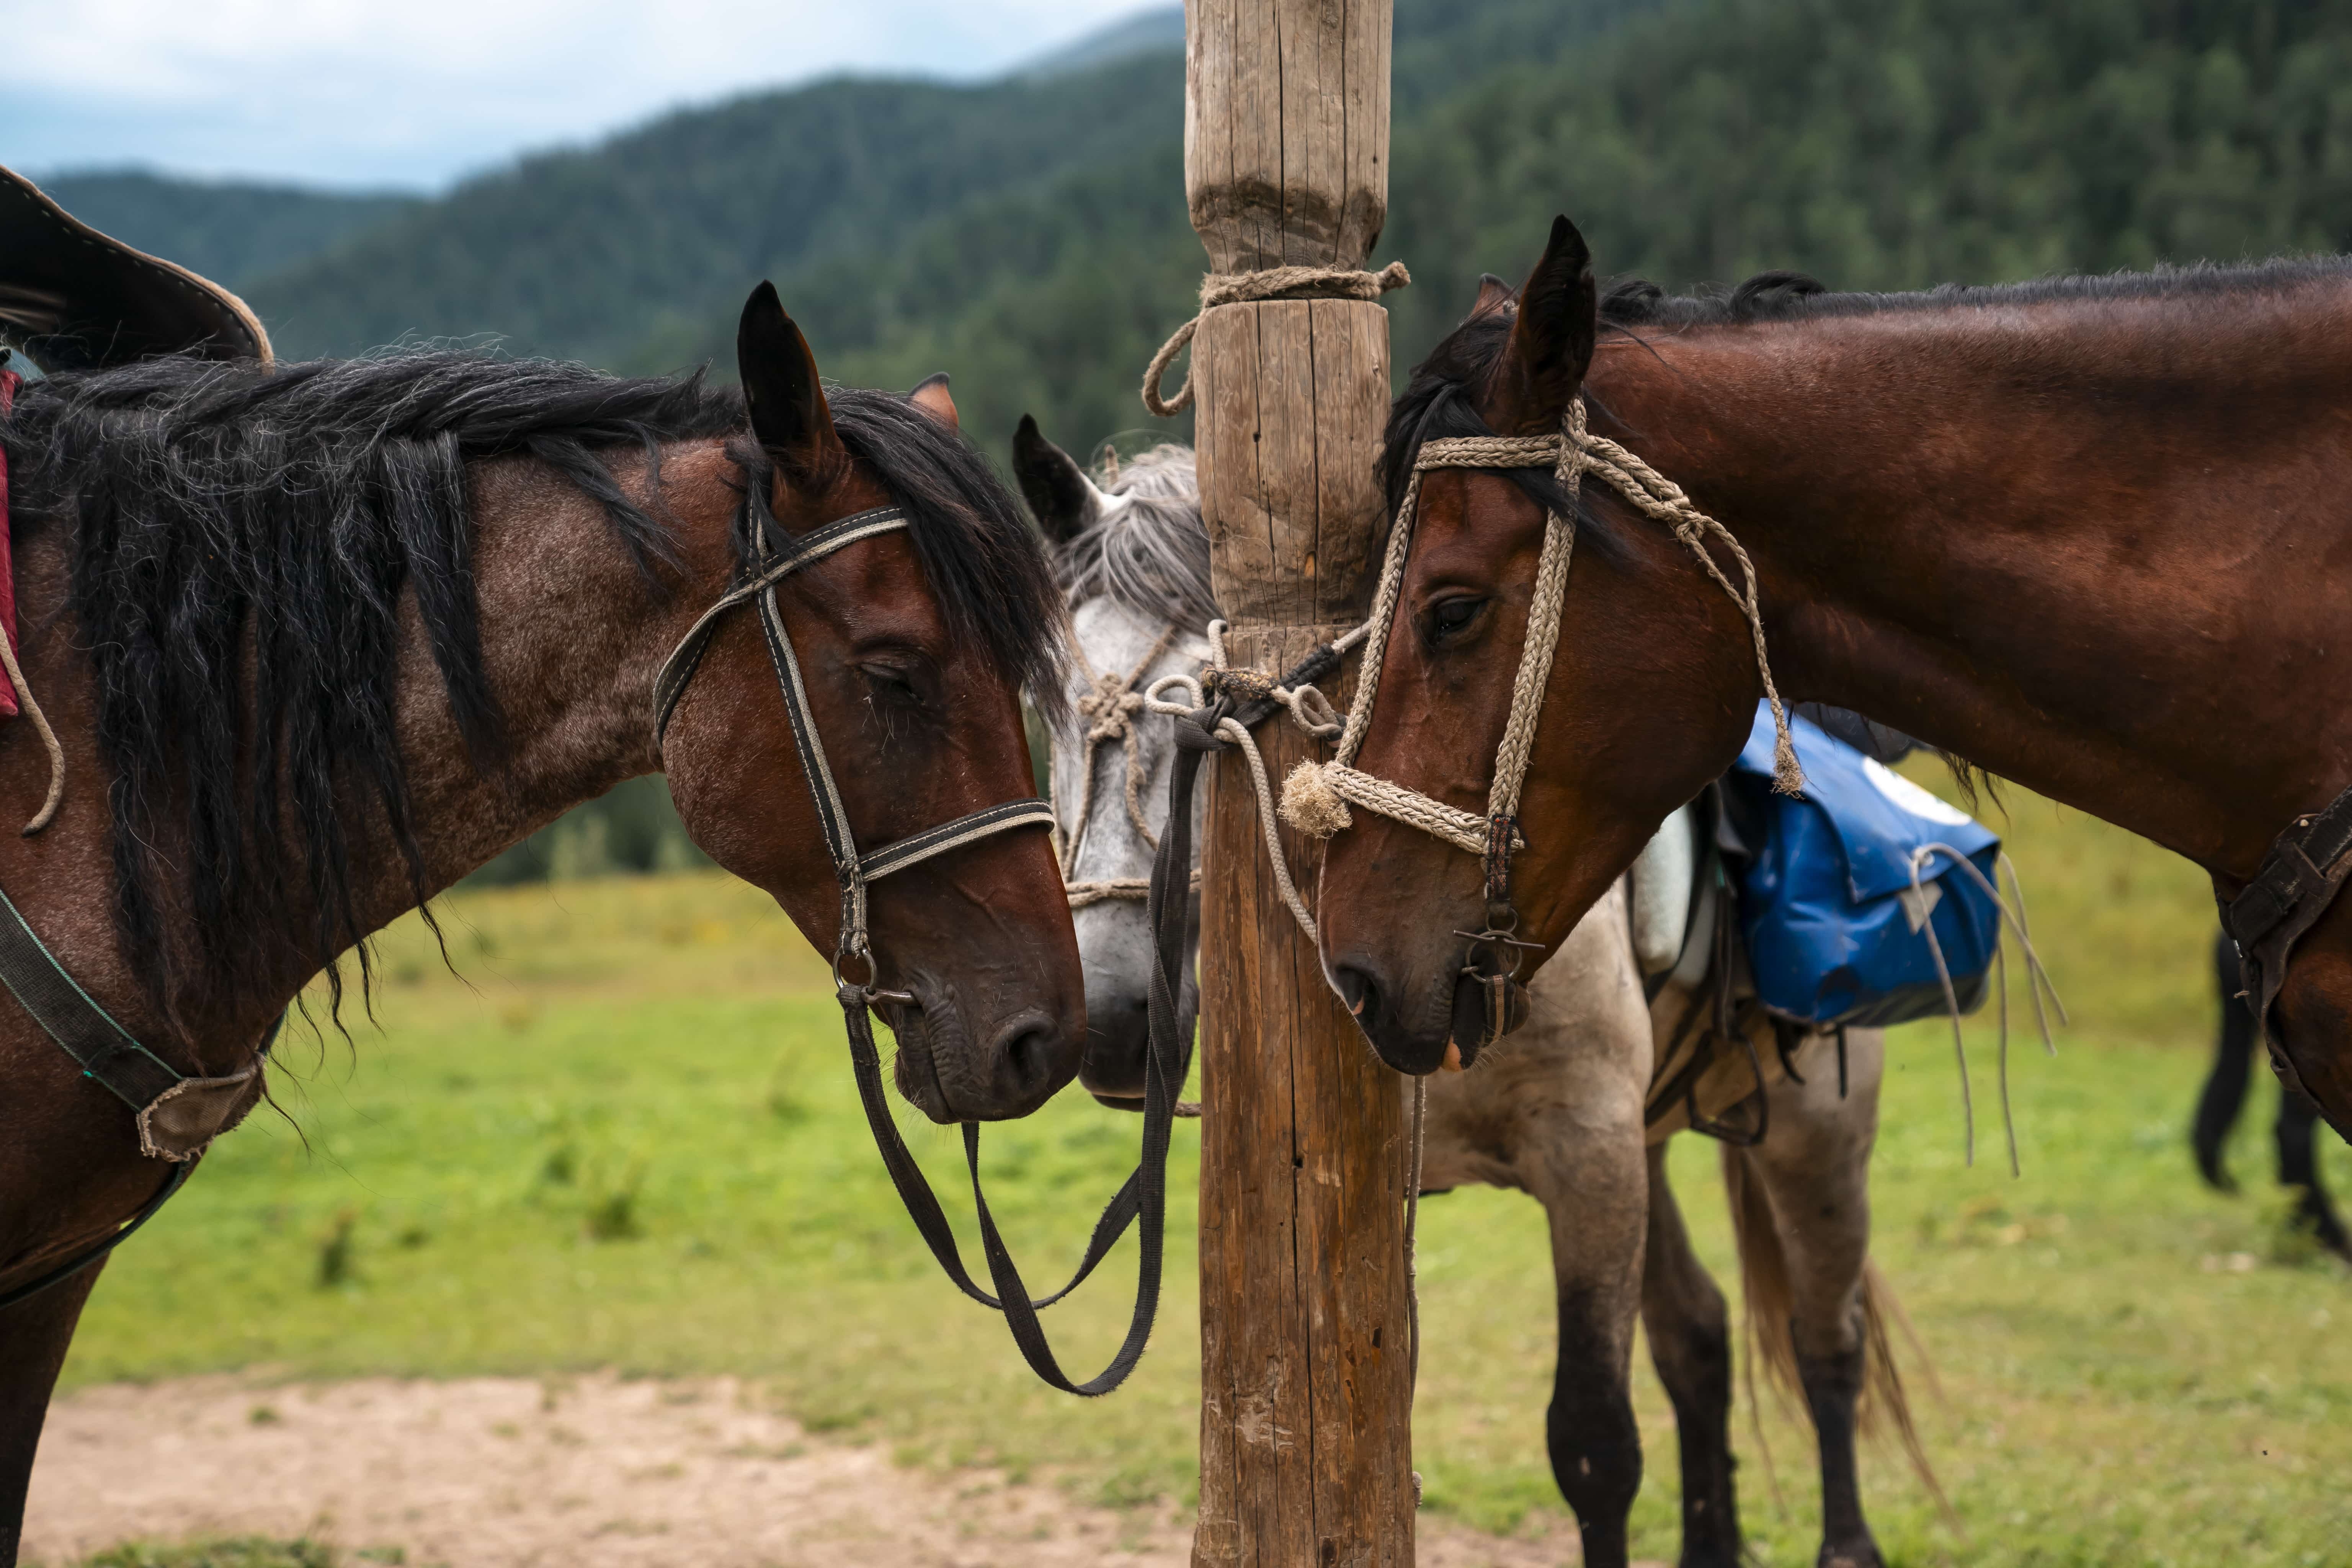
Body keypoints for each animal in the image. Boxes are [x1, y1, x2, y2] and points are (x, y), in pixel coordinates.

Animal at [1021, 413, 1938, 1568]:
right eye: (1049, 713)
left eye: (1200, 718)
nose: (1111, 1019)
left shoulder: (1587, 1155)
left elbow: (1594, 1444)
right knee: (1701, 1338)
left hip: (1815, 1127)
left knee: (1827, 1343)